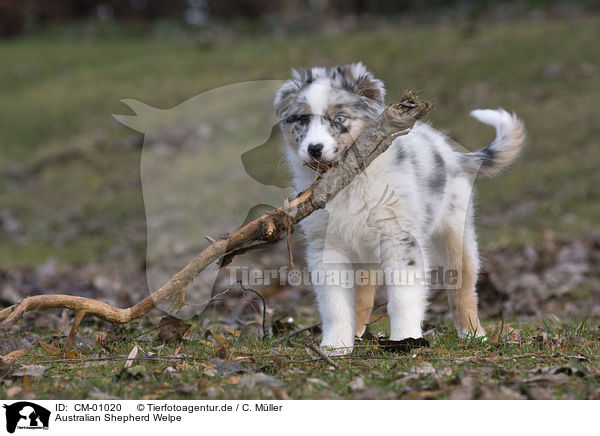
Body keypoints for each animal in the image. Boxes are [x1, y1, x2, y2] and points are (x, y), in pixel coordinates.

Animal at [274, 62, 524, 354]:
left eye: (340, 118)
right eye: (301, 119)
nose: (314, 149)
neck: (350, 183)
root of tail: (453, 156)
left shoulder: (400, 240)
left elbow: (403, 296)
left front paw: (406, 339)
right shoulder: (327, 247)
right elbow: (335, 303)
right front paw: (335, 346)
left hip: (456, 233)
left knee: (463, 290)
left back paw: (473, 334)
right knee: (364, 294)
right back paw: (357, 334)